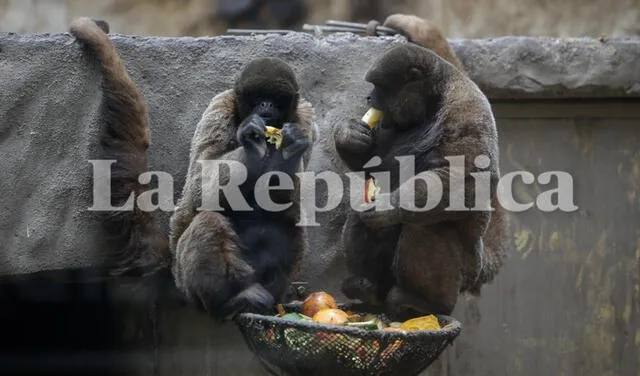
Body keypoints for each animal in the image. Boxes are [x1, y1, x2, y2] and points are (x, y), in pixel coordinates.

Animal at [170, 57, 318, 318]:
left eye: (276, 98)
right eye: (257, 96)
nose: (266, 104)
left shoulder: (305, 120)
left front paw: (290, 148)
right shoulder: (218, 108)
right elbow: (200, 177)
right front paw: (252, 144)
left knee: (291, 225)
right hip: (187, 285)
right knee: (208, 221)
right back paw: (233, 298)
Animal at [336, 15, 510, 320]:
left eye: (379, 88)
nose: (369, 98)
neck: (433, 99)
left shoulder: (466, 107)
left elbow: (467, 178)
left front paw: (388, 206)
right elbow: (373, 162)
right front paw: (348, 135)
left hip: (462, 274)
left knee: (428, 225)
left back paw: (428, 303)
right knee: (358, 214)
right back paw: (366, 288)